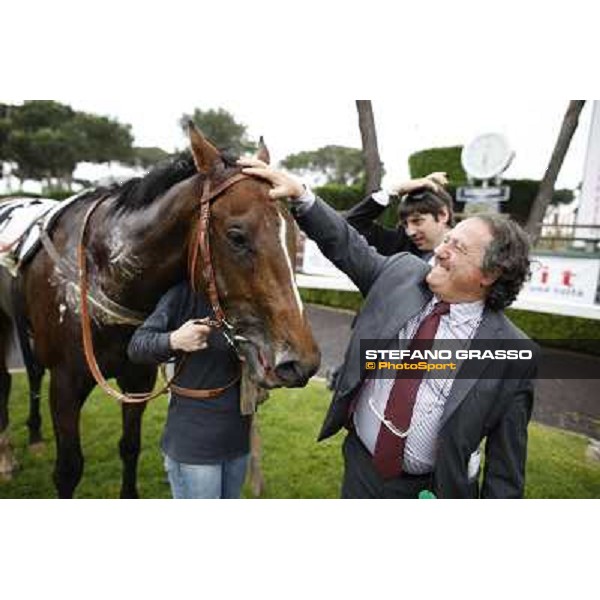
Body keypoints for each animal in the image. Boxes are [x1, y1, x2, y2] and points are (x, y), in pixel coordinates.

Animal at [0, 122, 318, 496]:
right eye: (237, 236)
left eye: (295, 236)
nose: (301, 362)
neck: (101, 269)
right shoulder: (65, 383)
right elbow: (68, 469)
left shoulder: (138, 376)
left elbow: (129, 446)